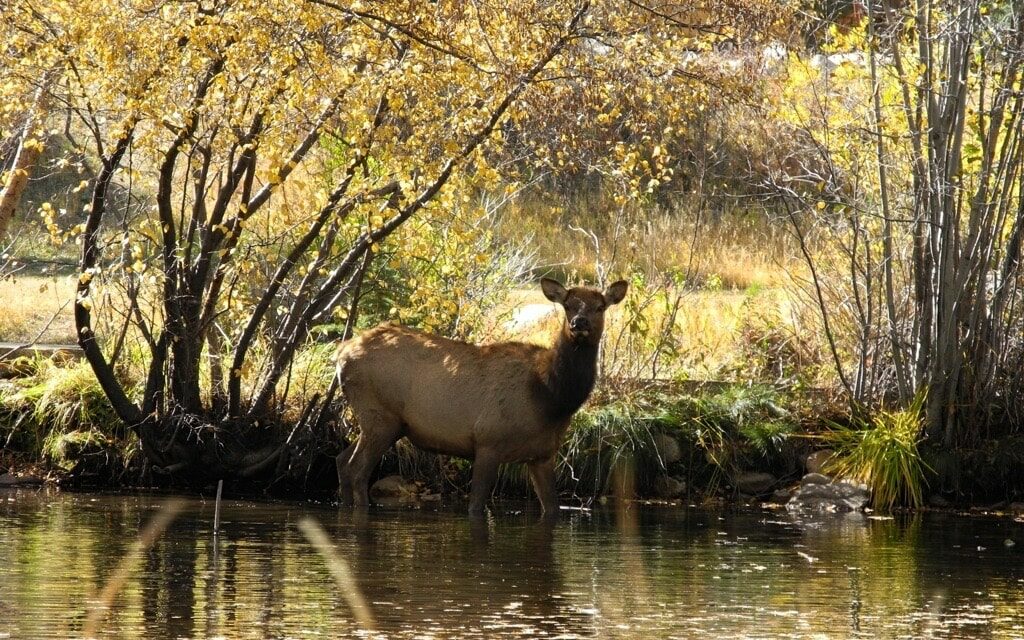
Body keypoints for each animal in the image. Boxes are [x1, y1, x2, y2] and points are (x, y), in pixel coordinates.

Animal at [335, 278, 626, 514]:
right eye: (568, 305)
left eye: (600, 306)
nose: (579, 323)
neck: (550, 398)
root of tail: (341, 356)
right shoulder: (488, 440)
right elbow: (476, 506)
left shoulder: (543, 455)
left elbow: (552, 509)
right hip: (379, 416)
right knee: (356, 470)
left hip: (383, 423)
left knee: (342, 461)